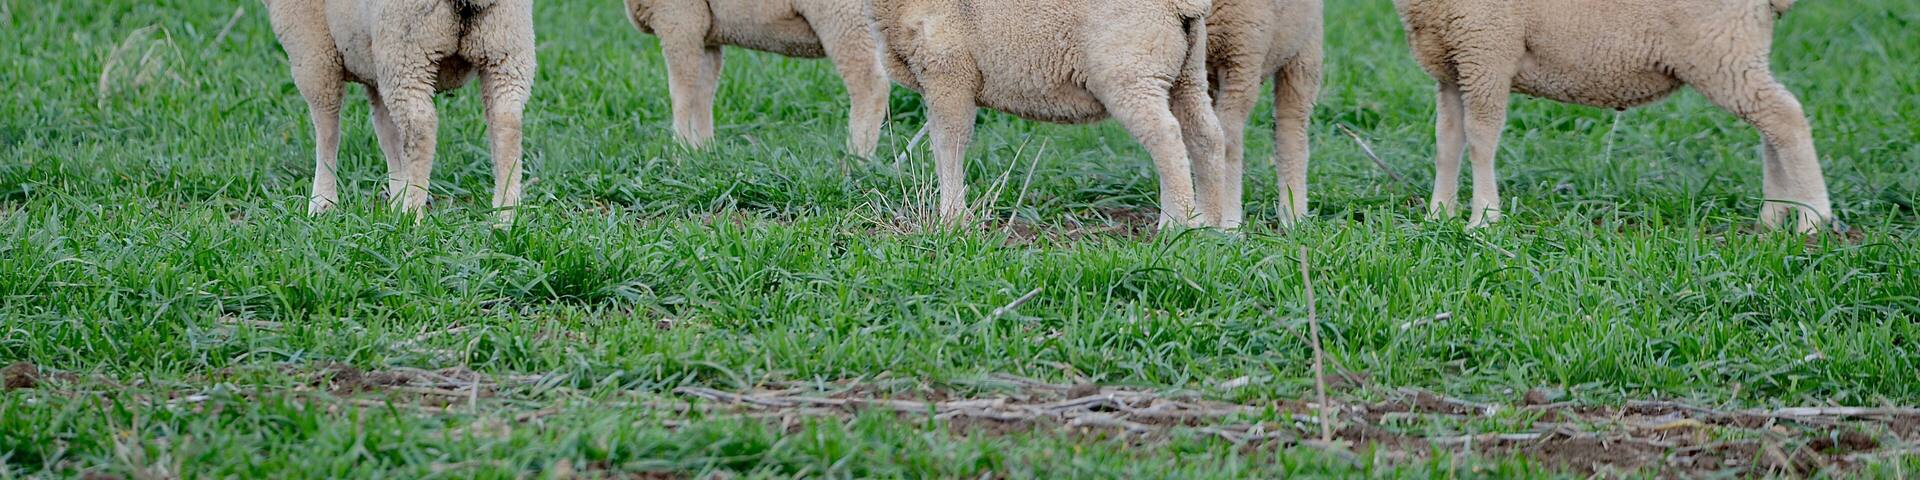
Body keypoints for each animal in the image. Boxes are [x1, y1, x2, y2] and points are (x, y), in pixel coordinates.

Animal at [263, 0, 536, 224]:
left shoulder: (313, 51)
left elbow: (327, 131)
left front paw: (322, 203)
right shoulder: (373, 72)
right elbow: (388, 137)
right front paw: (395, 197)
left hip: (407, 48)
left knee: (420, 127)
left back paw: (412, 216)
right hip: (506, 44)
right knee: (507, 122)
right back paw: (506, 214)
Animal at [624, 0, 888, 157]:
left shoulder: (680, 19)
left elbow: (681, 92)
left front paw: (680, 154)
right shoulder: (706, 35)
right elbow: (702, 93)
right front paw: (703, 152)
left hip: (845, 15)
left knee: (868, 80)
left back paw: (856, 159)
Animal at [868, 0, 1227, 228]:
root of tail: (1181, 6)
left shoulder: (950, 73)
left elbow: (948, 143)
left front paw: (952, 218)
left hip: (1131, 71)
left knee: (1166, 138)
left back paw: (1176, 224)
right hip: (1187, 73)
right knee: (1206, 136)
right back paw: (1210, 225)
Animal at [1205, 0, 1323, 228]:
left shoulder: (1242, 65)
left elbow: (1228, 146)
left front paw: (1228, 224)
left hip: (1303, 50)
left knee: (1291, 129)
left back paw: (1294, 216)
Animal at [1394, 0, 1834, 232]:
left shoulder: (1488, 52)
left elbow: (1481, 141)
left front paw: (1484, 219)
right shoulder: (1452, 68)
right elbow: (1448, 142)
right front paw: (1438, 214)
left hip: (1721, 50)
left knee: (1786, 119)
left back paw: (1812, 220)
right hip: (1735, 55)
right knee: (1771, 127)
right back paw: (1772, 218)